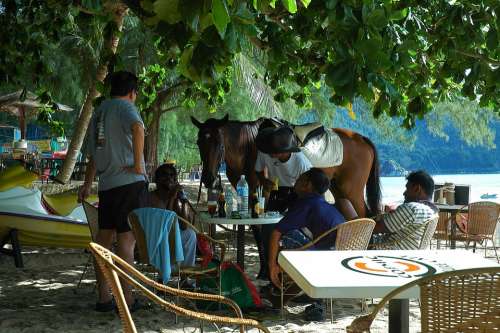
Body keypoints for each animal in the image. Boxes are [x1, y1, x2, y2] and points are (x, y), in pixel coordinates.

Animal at [190, 115, 378, 218]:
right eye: (199, 143)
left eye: (219, 144)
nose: (208, 179)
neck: (248, 144)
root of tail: (361, 138)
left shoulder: (260, 188)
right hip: (338, 188)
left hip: (351, 190)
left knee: (363, 214)